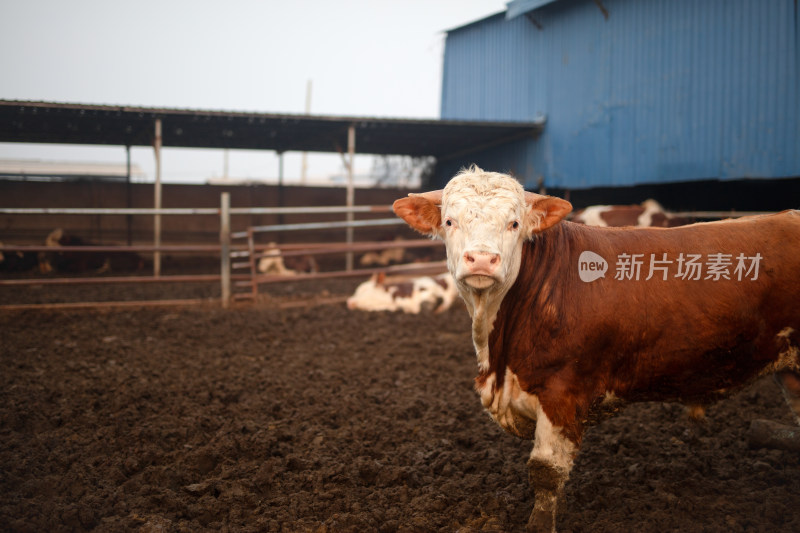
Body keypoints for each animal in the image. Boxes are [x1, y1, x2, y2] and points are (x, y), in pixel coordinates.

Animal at [394, 166, 800, 532]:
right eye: (449, 221)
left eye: (514, 224)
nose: (481, 259)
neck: (499, 358)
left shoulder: (562, 392)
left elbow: (545, 472)